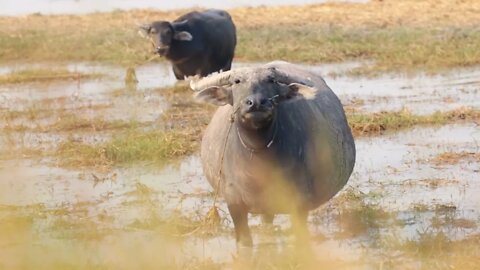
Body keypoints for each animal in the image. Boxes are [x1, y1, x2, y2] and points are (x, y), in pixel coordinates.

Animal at [191, 61, 356, 247]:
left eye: (271, 80)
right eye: (237, 81)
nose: (256, 103)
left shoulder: (299, 203)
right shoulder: (234, 204)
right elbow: (245, 242)